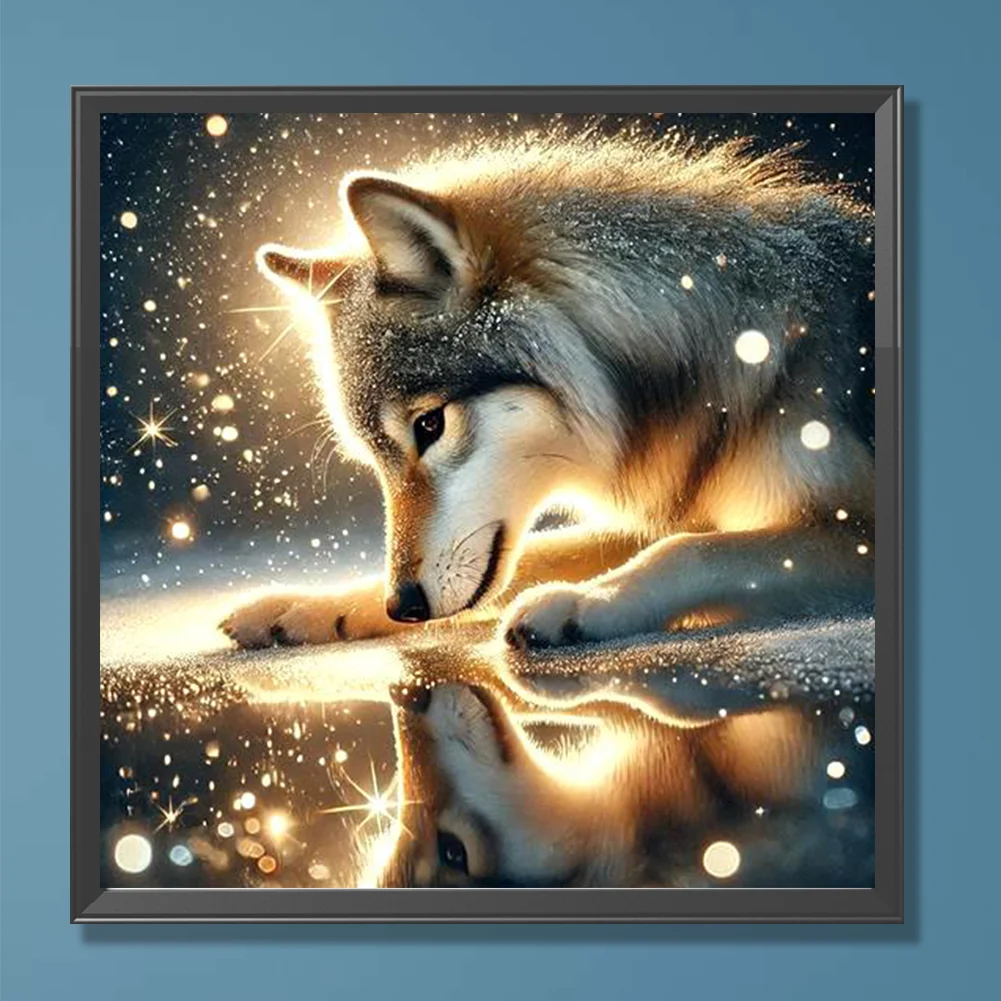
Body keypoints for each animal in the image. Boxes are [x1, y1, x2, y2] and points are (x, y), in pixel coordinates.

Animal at [221, 128, 875, 651]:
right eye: (372, 460)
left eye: (429, 427)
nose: (402, 605)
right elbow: (550, 550)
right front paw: (306, 605)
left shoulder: (853, 529)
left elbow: (684, 549)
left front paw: (585, 603)